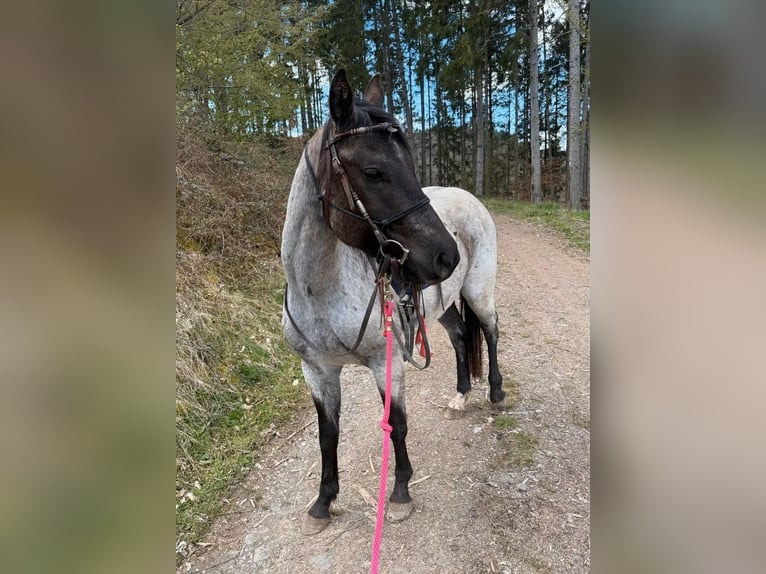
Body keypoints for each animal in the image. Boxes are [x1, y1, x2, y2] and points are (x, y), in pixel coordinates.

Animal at [281, 69, 505, 535]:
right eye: (374, 171)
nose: (445, 255)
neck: (318, 294)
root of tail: (467, 196)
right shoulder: (317, 371)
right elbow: (327, 436)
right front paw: (323, 503)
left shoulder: (386, 361)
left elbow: (396, 424)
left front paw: (401, 493)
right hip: (441, 307)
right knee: (461, 338)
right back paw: (461, 397)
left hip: (478, 291)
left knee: (491, 331)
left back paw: (495, 392)